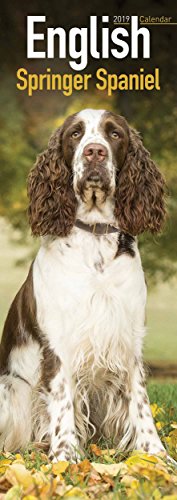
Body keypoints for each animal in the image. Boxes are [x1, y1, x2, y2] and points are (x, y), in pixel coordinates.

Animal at [0, 108, 166, 460]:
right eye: (75, 133)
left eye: (114, 133)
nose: (94, 152)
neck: (95, 234)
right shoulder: (58, 342)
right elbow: (62, 402)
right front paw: (65, 457)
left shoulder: (128, 337)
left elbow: (140, 401)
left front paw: (155, 454)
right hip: (11, 388)